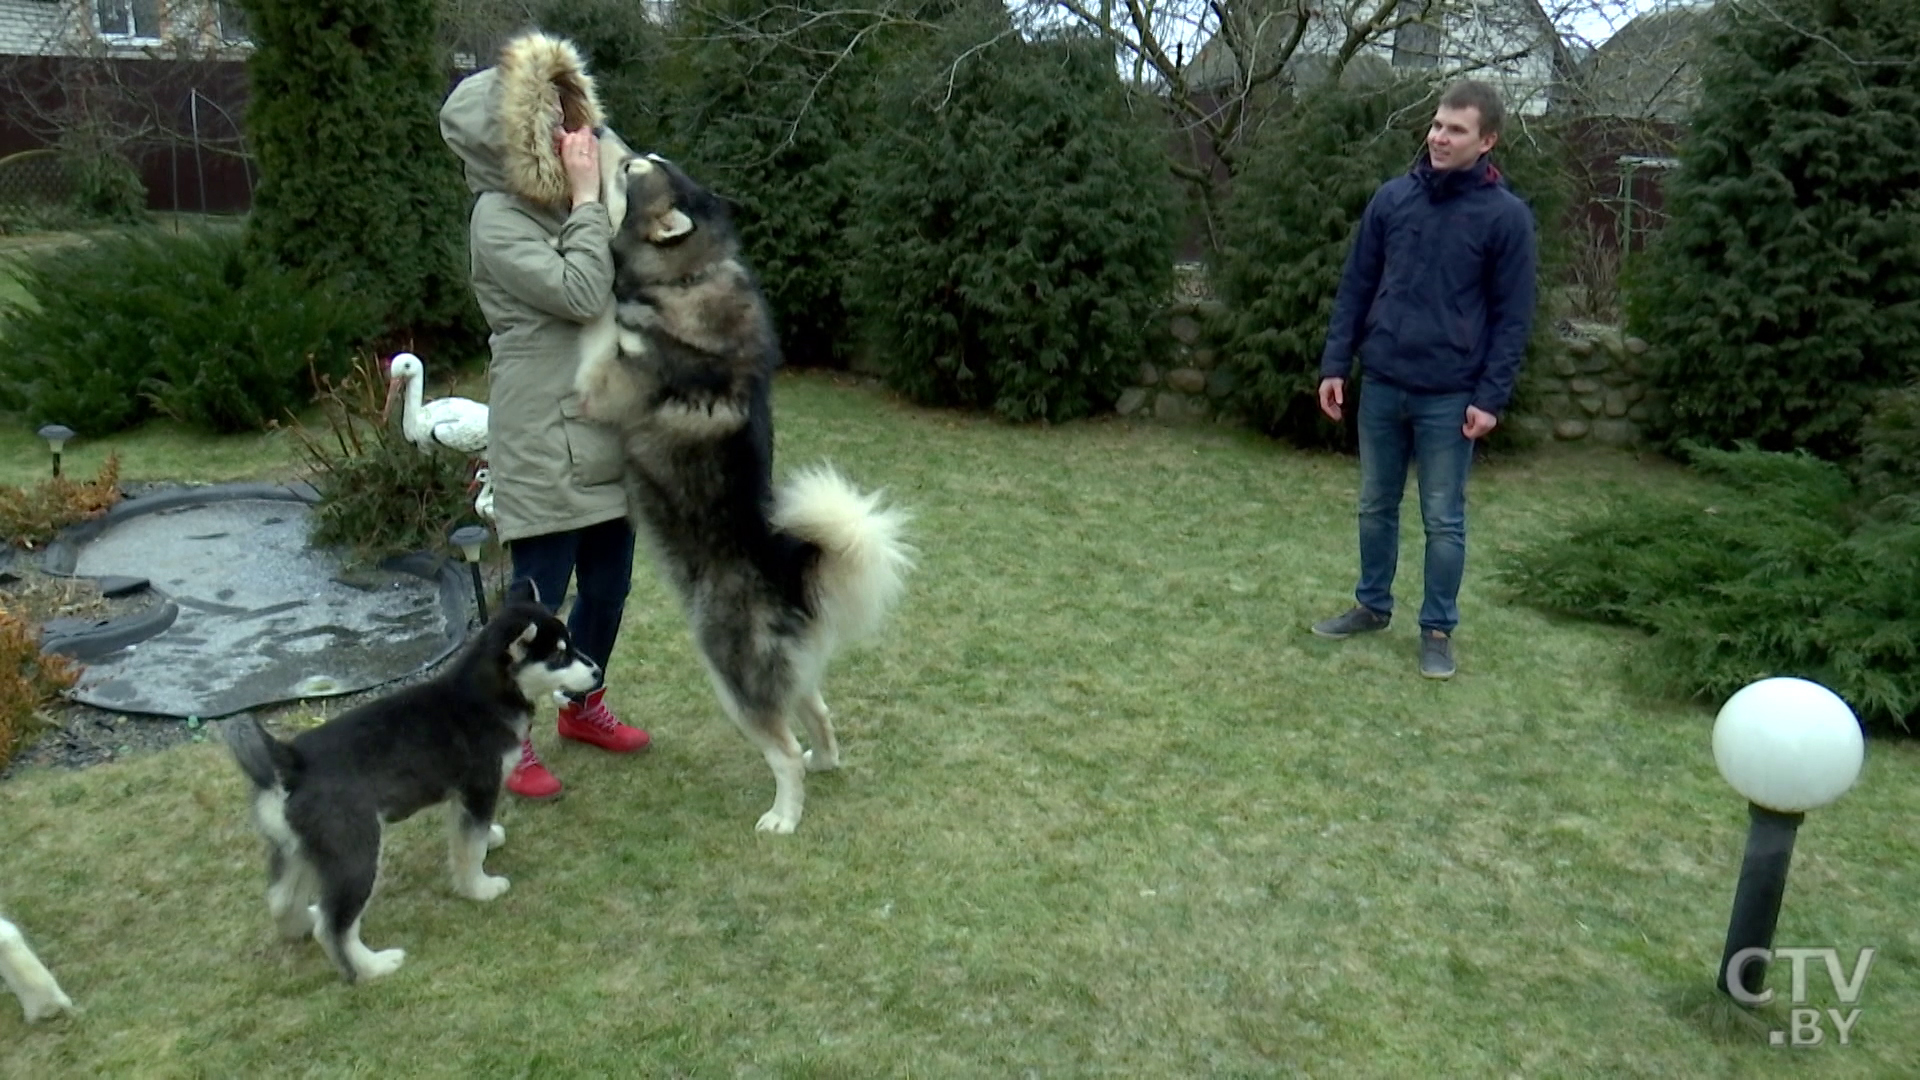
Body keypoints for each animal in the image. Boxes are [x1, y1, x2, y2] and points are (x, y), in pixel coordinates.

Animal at [217, 576, 595, 980]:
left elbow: (467, 834)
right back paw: (373, 966)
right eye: (558, 656)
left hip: (297, 848)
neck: (486, 695)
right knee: (334, 927)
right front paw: (479, 888)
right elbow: (470, 847)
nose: (597, 672)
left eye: (572, 643)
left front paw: (490, 839)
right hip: (356, 852)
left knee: (279, 899)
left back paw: (301, 924)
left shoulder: (463, 795)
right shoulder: (479, 787)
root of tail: (291, 761)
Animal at [572, 151, 910, 834]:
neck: (688, 277)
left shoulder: (602, 384)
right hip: (786, 675)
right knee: (817, 715)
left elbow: (601, 325)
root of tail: (790, 576)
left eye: (631, 170)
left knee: (780, 749)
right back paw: (822, 761)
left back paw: (784, 815)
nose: (597, 137)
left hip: (730, 676)